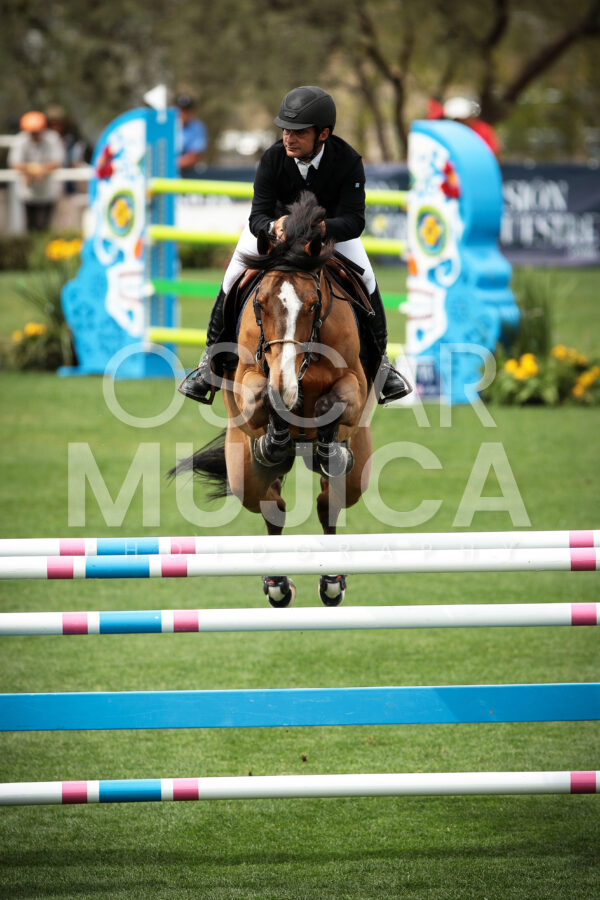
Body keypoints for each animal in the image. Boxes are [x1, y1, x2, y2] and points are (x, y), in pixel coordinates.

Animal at [172, 192, 377, 607]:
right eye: (260, 304)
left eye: (313, 305)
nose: (286, 385)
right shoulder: (247, 381)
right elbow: (259, 396)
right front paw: (276, 430)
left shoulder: (355, 383)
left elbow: (336, 400)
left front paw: (323, 439)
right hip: (245, 475)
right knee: (273, 508)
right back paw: (277, 584)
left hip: (355, 473)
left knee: (327, 504)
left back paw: (331, 581)